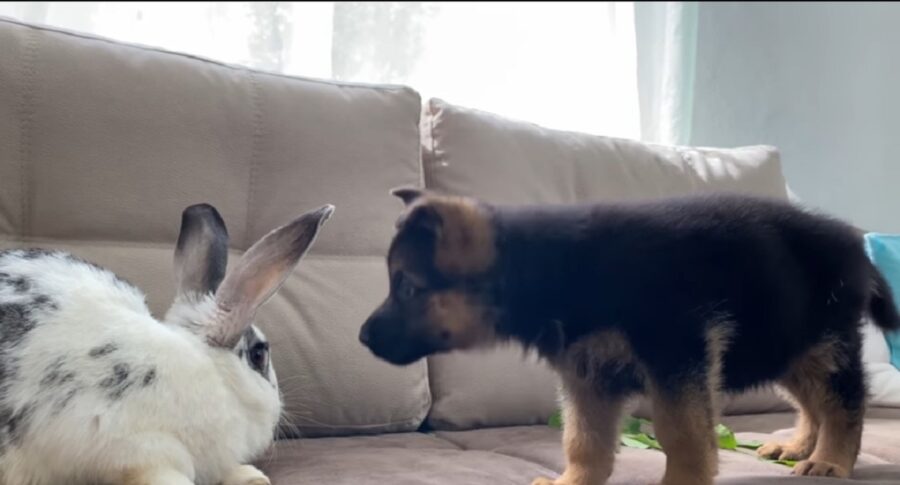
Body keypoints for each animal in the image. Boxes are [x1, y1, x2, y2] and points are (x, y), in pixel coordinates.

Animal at [358, 188, 900, 484]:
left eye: (407, 287)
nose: (362, 337)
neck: (560, 268)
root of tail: (855, 243)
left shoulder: (676, 354)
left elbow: (682, 433)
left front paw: (683, 482)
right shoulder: (587, 375)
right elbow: (584, 440)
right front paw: (573, 481)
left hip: (819, 342)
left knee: (844, 400)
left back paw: (830, 460)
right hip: (782, 341)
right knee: (812, 401)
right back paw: (800, 446)